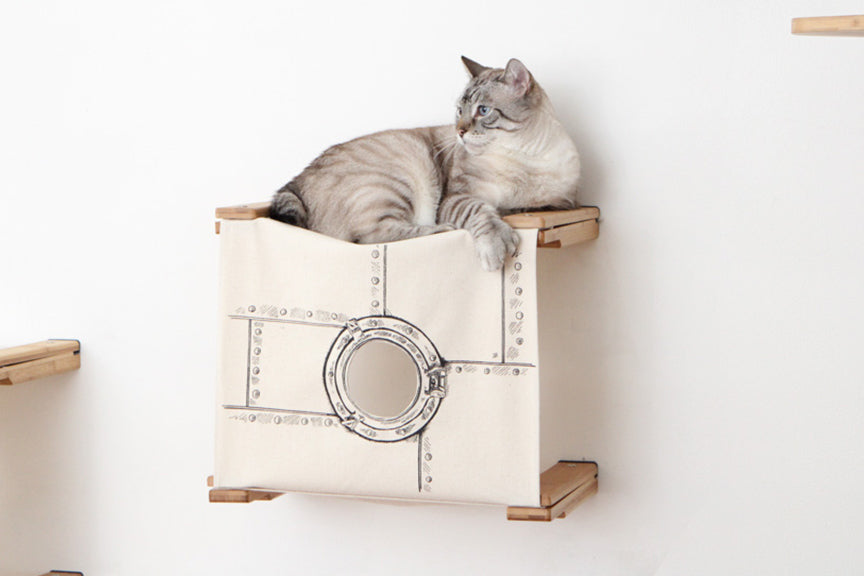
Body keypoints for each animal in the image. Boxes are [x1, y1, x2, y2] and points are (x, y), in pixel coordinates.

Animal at [270, 55, 580, 272]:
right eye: (459, 111)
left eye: (483, 111)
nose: (459, 131)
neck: (525, 157)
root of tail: (295, 182)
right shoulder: (457, 199)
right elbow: (482, 213)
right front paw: (496, 244)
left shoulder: (559, 204)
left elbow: (526, 207)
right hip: (402, 175)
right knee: (371, 238)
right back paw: (445, 230)